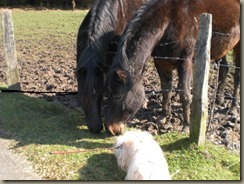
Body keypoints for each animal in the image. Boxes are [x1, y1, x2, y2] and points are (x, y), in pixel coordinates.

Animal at [104, 0, 239, 135]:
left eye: (118, 96)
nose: (110, 129)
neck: (170, 20)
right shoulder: (161, 62)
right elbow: (165, 89)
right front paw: (164, 116)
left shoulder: (185, 62)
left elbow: (184, 94)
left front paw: (186, 126)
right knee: (224, 69)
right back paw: (219, 100)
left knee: (237, 76)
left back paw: (233, 108)